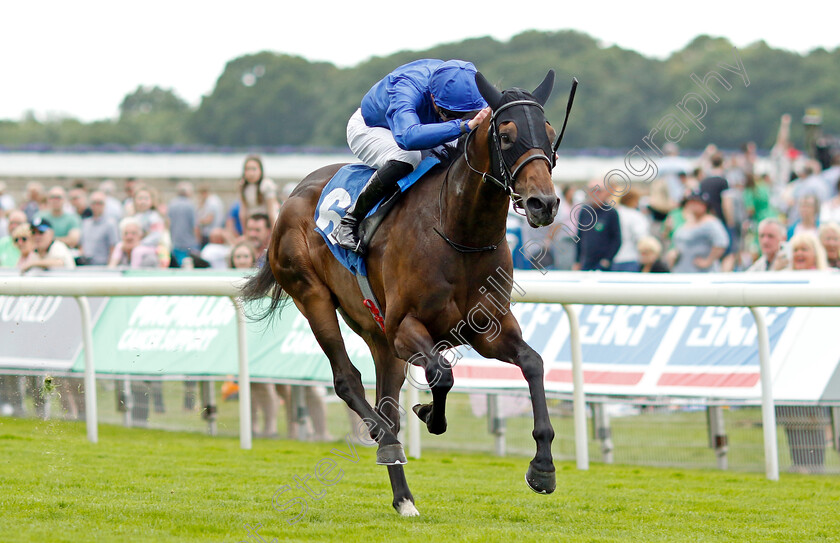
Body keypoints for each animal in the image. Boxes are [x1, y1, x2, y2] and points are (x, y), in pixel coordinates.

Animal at [240, 72, 576, 520]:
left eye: (551, 134)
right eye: (505, 135)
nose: (545, 203)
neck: (459, 232)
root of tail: (292, 195)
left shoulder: (487, 329)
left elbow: (533, 363)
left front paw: (542, 468)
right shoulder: (405, 328)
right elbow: (442, 373)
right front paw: (430, 414)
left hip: (376, 333)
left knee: (386, 398)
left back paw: (403, 496)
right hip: (313, 297)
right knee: (347, 380)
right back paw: (386, 441)